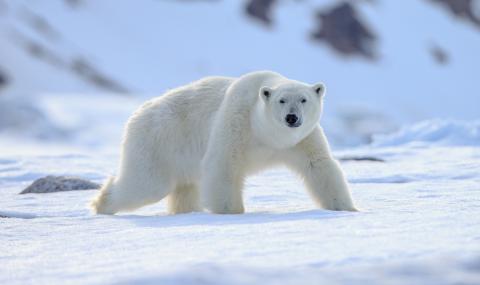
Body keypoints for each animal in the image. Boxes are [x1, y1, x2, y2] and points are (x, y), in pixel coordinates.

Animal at [92, 70, 358, 213]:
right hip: (157, 143)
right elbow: (223, 166)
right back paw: (101, 204)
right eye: (281, 100)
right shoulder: (237, 121)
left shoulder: (302, 139)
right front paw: (232, 212)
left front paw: (347, 208)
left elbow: (319, 166)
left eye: (304, 99)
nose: (292, 118)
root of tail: (137, 113)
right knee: (146, 184)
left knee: (185, 188)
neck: (268, 135)